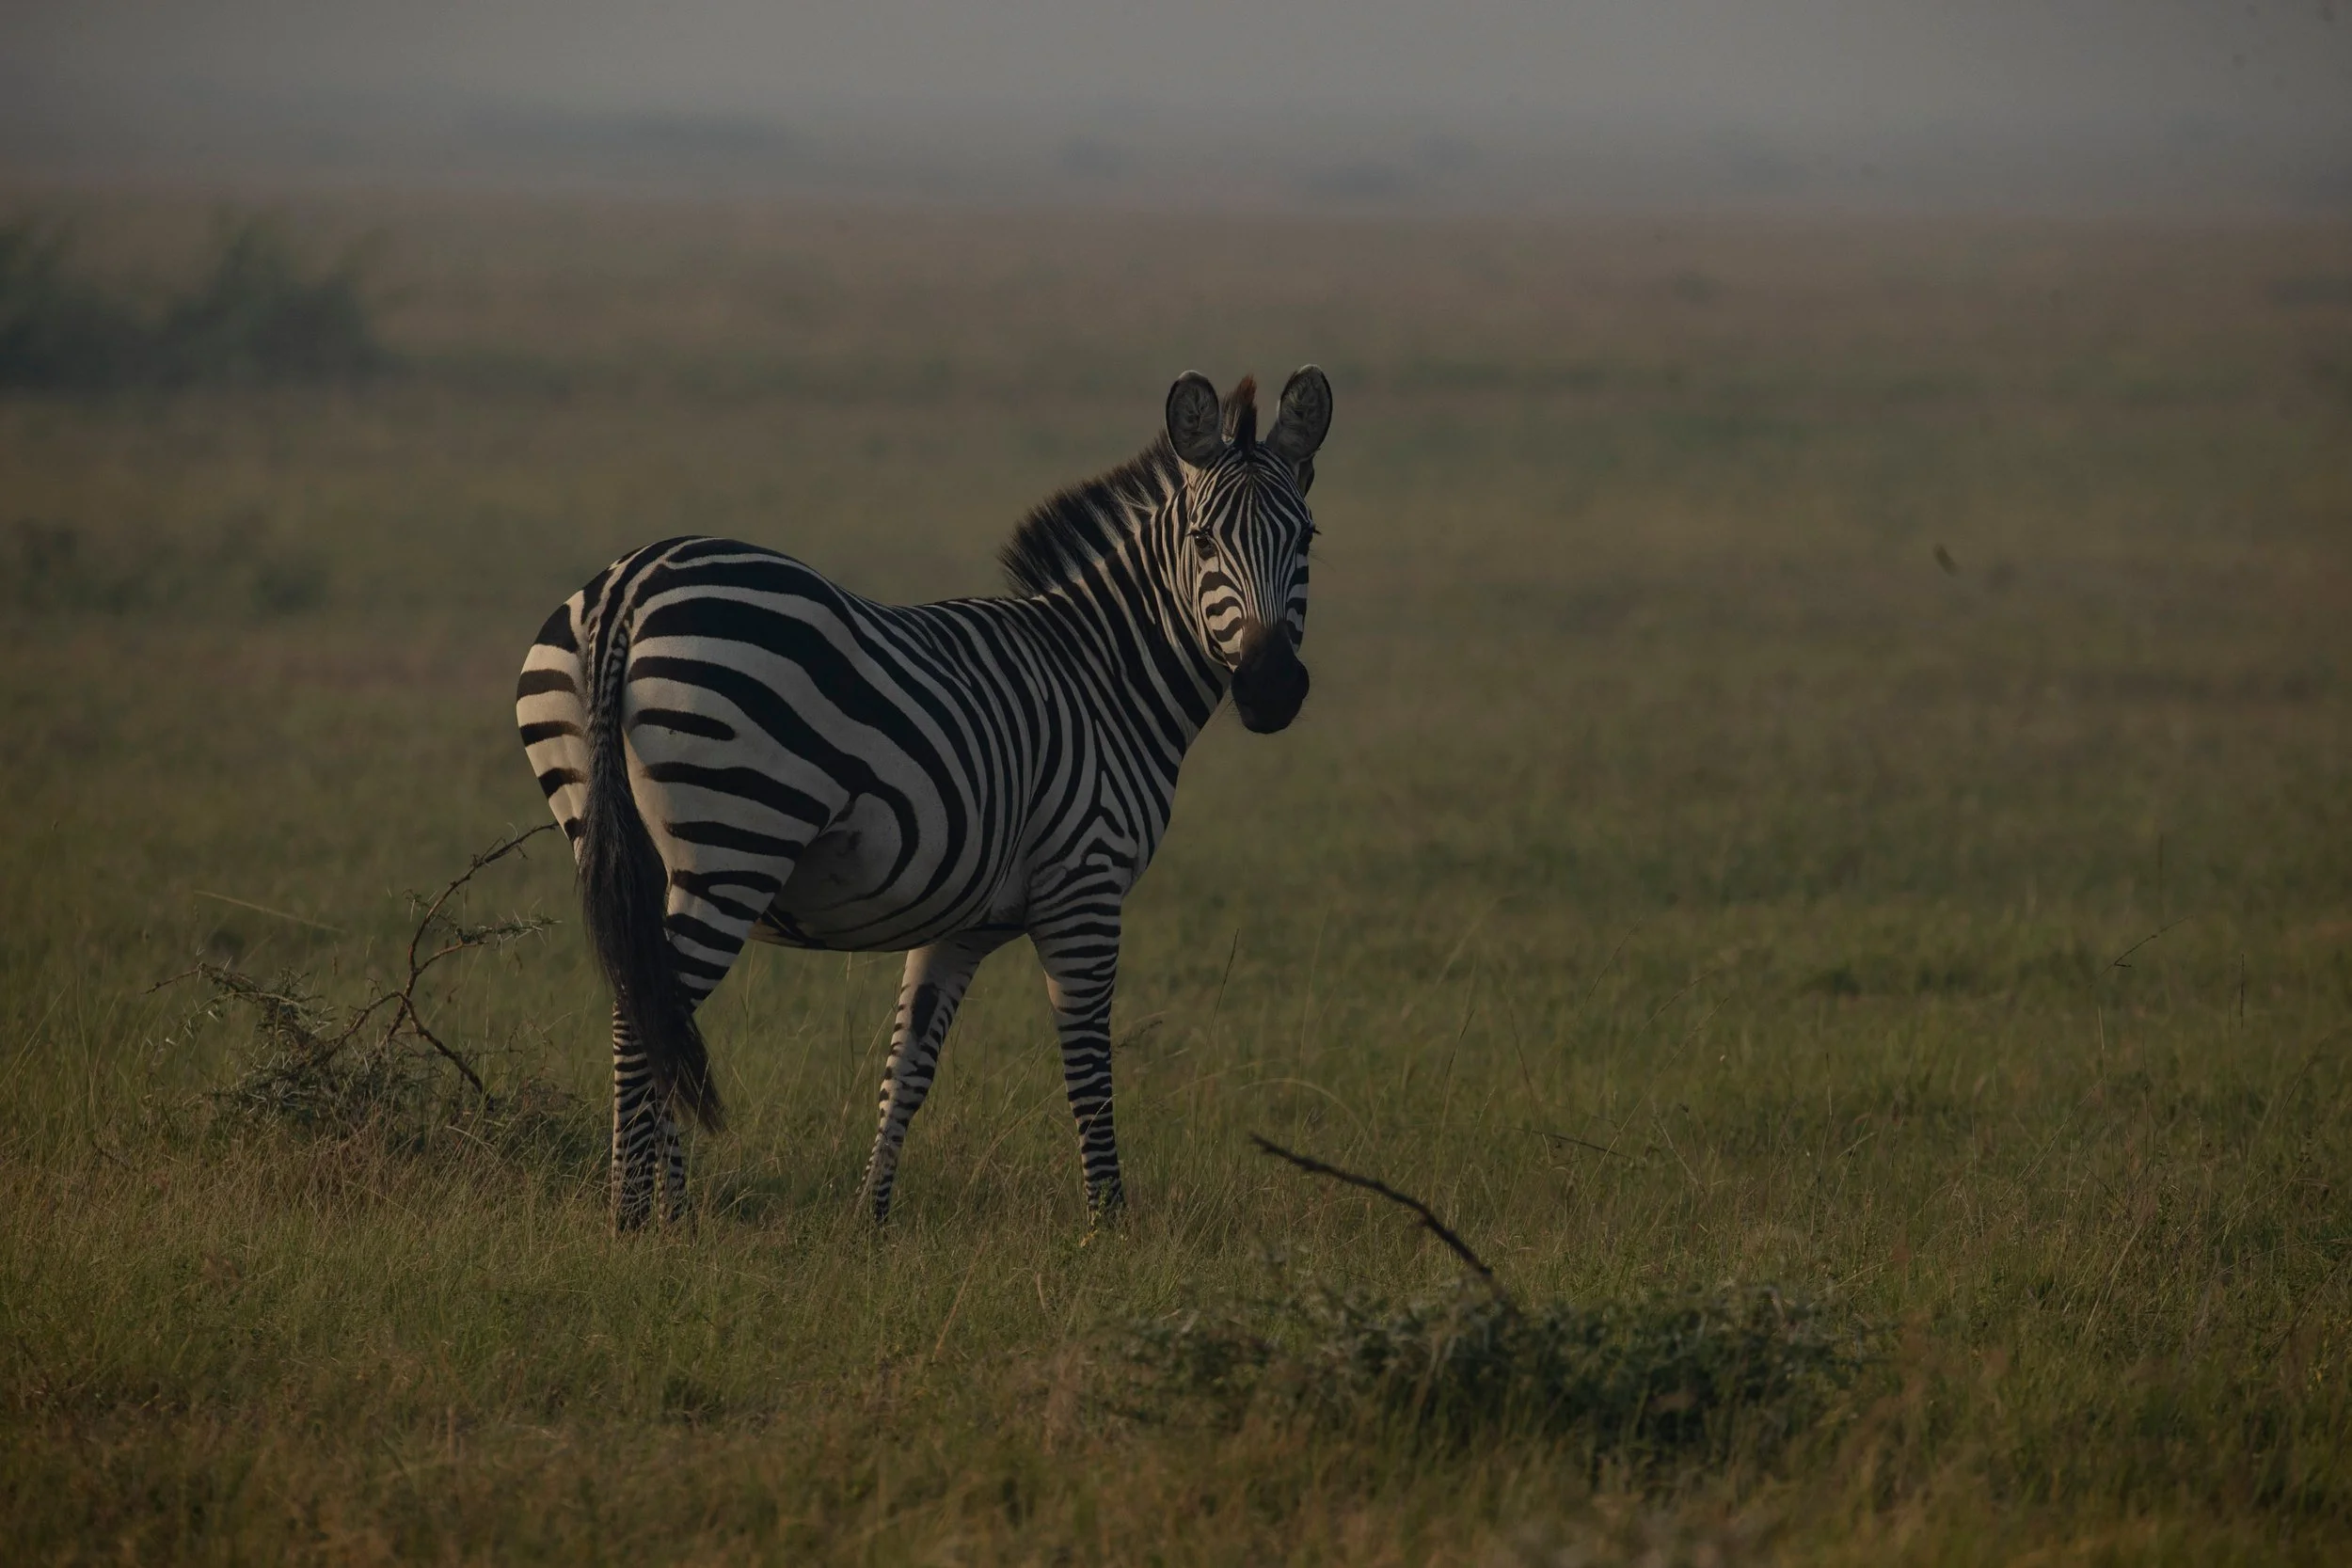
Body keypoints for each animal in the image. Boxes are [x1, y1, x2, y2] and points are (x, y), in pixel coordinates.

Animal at [515, 368, 1333, 1231]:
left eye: (1307, 538)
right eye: (1204, 542)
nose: (1271, 688)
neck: (1106, 675)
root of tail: (630, 586)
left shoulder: (960, 924)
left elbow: (908, 1066)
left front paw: (870, 1215)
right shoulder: (1086, 884)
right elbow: (1087, 1064)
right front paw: (1109, 1219)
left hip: (607, 829)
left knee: (652, 1008)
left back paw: (671, 1213)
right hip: (732, 848)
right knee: (644, 1019)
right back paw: (632, 1216)